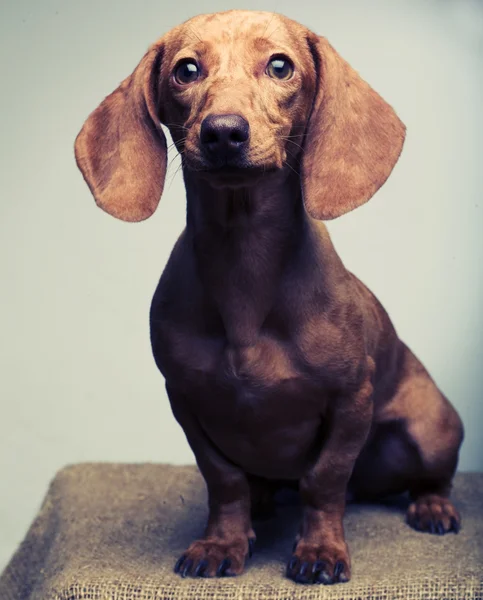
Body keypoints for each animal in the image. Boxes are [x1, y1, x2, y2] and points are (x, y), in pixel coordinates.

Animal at [74, 8, 466, 580]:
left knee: (430, 477)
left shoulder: (352, 399)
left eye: (280, 65)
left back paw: (432, 505)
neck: (245, 266)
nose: (223, 132)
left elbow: (323, 482)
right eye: (186, 69)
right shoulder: (187, 401)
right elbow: (224, 482)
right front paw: (222, 543)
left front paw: (320, 551)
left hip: (432, 428)